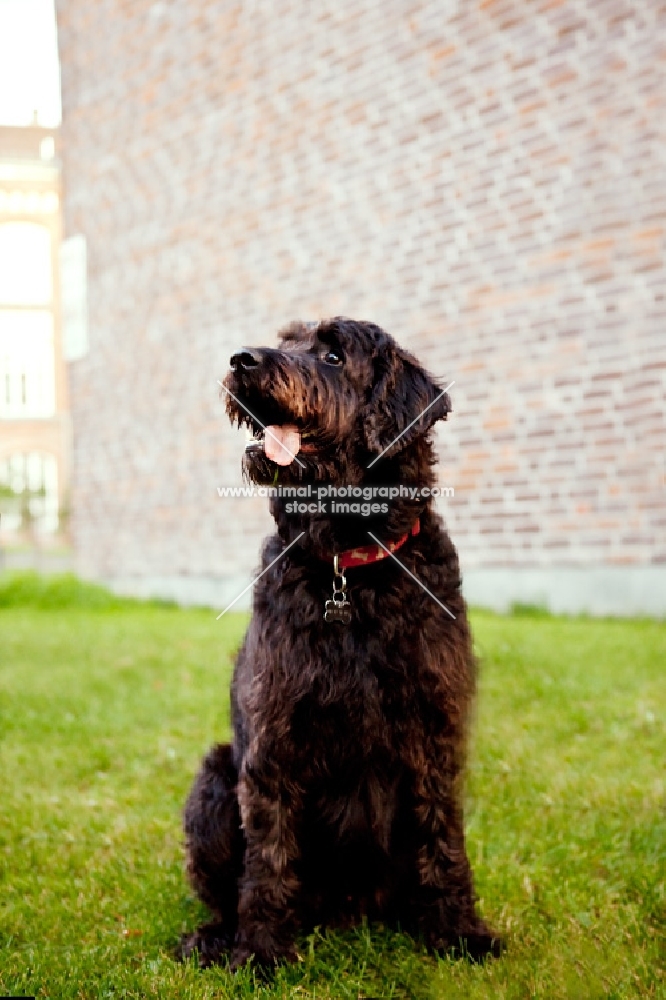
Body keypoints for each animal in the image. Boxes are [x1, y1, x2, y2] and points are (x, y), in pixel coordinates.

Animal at [180, 318, 498, 968]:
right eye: (287, 341)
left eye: (332, 355)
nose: (242, 359)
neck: (349, 569)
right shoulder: (274, 735)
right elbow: (269, 855)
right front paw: (261, 951)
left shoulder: (434, 728)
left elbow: (442, 836)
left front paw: (458, 931)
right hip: (214, 783)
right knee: (226, 887)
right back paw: (217, 937)